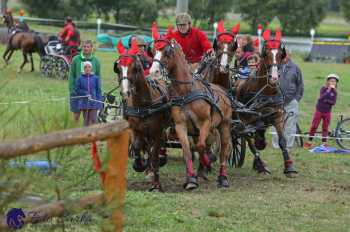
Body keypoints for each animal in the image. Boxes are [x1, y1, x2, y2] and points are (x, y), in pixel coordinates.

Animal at [114, 40, 170, 192]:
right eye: (118, 68)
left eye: (135, 68)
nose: (125, 92)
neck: (143, 104)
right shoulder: (134, 129)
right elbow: (137, 145)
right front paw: (139, 164)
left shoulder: (157, 131)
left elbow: (154, 152)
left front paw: (156, 184)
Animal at [150, 24, 232, 190]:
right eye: (154, 50)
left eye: (167, 52)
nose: (153, 72)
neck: (185, 92)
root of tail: (222, 90)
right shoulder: (181, 126)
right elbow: (187, 151)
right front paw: (191, 180)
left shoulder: (205, 123)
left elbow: (201, 146)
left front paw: (207, 162)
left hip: (224, 125)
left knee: (223, 150)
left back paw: (222, 177)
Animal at [235, 29, 298, 178]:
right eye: (267, 54)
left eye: (280, 55)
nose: (274, 78)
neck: (267, 92)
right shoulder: (250, 120)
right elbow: (254, 140)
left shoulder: (278, 116)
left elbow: (282, 141)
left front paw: (289, 166)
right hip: (241, 121)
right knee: (247, 140)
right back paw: (260, 164)